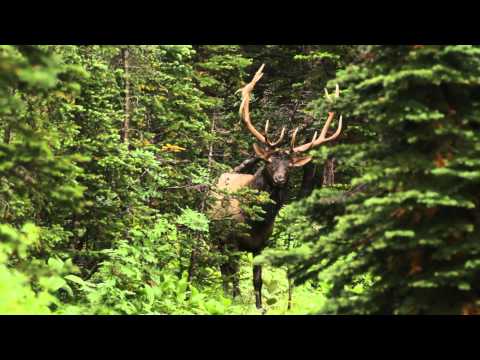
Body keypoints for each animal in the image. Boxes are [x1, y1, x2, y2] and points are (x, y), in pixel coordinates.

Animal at [212, 63, 344, 310]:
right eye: (270, 161)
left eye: (290, 165)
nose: (281, 179)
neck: (255, 221)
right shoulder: (232, 240)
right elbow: (234, 275)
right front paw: (234, 302)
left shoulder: (262, 244)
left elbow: (257, 280)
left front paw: (259, 306)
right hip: (215, 235)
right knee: (224, 269)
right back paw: (226, 294)